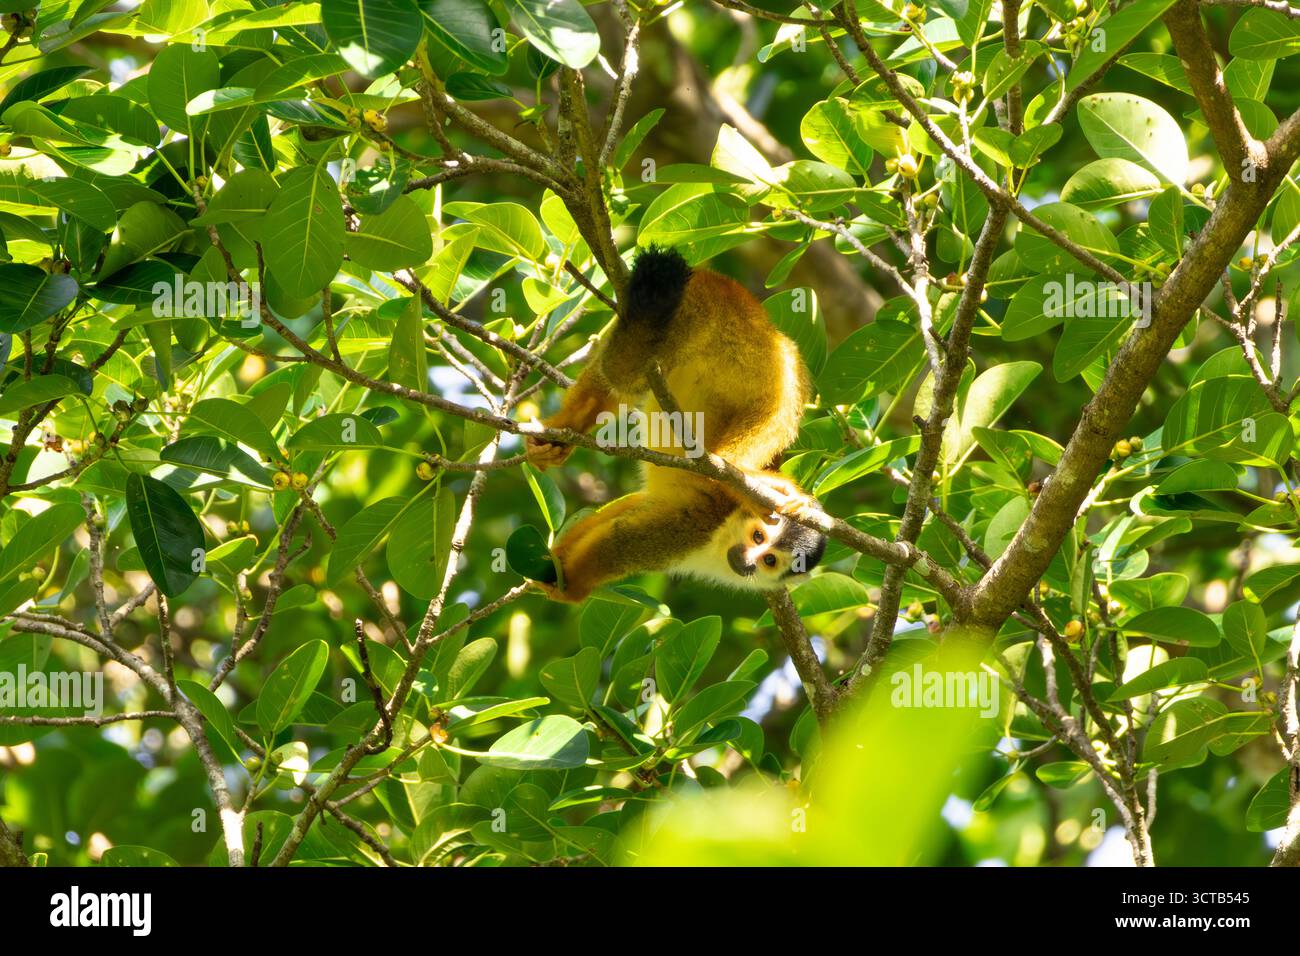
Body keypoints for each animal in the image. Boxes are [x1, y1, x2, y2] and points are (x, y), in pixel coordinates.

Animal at [524, 246, 827, 604]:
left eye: (769, 560)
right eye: (757, 538)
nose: (748, 562)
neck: (721, 539)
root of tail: (737, 301)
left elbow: (627, 509)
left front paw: (556, 562)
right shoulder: (694, 525)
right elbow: (622, 542)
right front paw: (570, 585)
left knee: (615, 374)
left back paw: (564, 431)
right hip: (757, 355)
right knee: (781, 405)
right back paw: (740, 472)